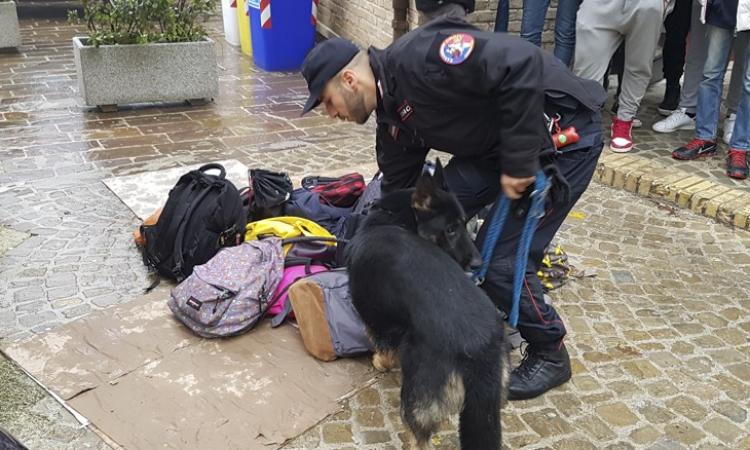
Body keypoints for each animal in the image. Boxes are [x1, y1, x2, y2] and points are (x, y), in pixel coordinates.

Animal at [346, 163, 512, 450]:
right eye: (452, 228)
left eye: (461, 226)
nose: (479, 263)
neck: (394, 220)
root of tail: (481, 348)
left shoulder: (375, 317)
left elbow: (381, 344)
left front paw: (381, 362)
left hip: (417, 398)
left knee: (419, 436)